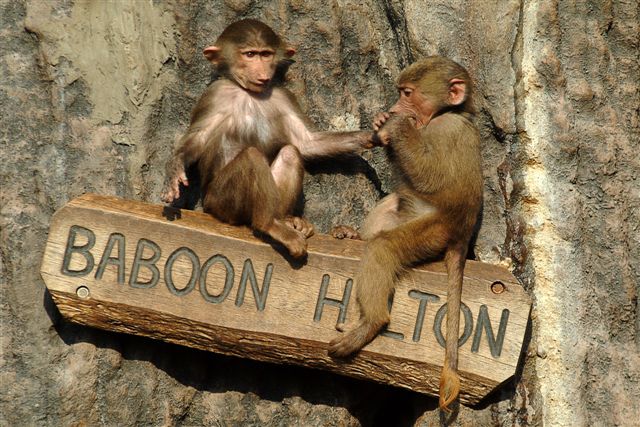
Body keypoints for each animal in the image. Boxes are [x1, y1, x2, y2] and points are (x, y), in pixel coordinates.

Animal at [161, 19, 374, 258]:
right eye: (250, 54)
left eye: (266, 54)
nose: (262, 71)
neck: (248, 93)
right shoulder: (215, 95)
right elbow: (198, 139)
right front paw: (175, 168)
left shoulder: (283, 96)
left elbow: (306, 142)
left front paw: (372, 135)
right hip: (219, 203)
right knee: (251, 158)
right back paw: (269, 224)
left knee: (290, 153)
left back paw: (287, 221)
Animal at [329, 56, 483, 412]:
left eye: (408, 93)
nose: (395, 106)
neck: (443, 114)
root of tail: (461, 235)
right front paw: (382, 122)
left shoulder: (448, 130)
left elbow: (431, 176)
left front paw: (396, 126)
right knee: (394, 203)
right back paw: (353, 236)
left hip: (434, 232)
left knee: (384, 248)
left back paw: (371, 323)